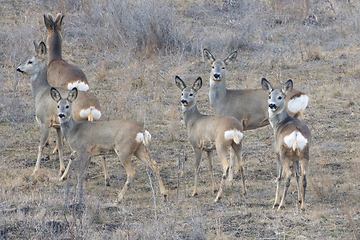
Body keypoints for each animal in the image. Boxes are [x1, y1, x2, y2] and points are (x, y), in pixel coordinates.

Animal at [16, 40, 102, 178]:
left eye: (30, 61)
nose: (18, 68)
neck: (41, 93)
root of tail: (90, 107)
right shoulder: (57, 126)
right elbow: (60, 146)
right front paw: (61, 169)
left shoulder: (45, 122)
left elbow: (41, 146)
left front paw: (35, 171)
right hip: (96, 122)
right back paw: (105, 178)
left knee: (75, 151)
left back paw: (66, 176)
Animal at [260, 78, 310, 210]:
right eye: (269, 96)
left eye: (280, 97)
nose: (272, 105)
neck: (280, 123)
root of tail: (296, 133)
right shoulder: (295, 158)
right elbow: (297, 175)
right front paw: (299, 199)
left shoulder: (277, 152)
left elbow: (278, 177)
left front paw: (275, 202)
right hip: (304, 153)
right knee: (303, 176)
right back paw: (303, 205)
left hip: (284, 153)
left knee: (287, 176)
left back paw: (281, 204)